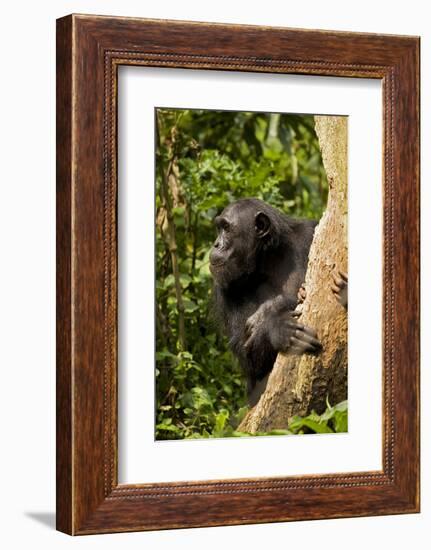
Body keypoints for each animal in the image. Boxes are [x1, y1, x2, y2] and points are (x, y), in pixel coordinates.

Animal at [211, 198, 346, 406]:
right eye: (219, 228)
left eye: (226, 228)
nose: (217, 244)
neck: (266, 260)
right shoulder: (224, 288)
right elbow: (248, 359)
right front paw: (277, 327)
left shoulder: (310, 232)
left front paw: (274, 308)